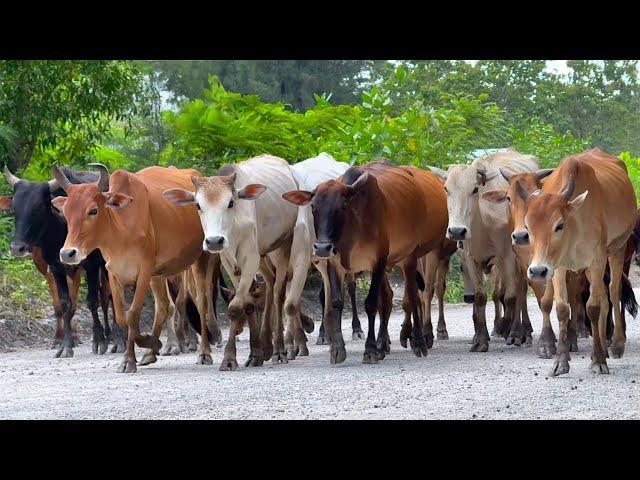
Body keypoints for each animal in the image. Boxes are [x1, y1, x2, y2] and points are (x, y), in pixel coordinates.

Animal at [0, 165, 122, 356]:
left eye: (38, 207)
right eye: (14, 208)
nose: (17, 247)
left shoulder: (90, 265)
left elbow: (92, 301)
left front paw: (98, 340)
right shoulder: (56, 267)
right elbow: (65, 304)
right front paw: (65, 345)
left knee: (109, 295)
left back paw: (116, 339)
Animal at [50, 163, 220, 374]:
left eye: (93, 211)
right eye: (66, 212)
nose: (68, 253)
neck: (121, 227)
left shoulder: (144, 272)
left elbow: (132, 315)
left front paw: (130, 359)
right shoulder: (114, 273)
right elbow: (122, 316)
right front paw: (148, 344)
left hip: (200, 258)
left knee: (202, 303)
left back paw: (204, 352)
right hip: (158, 274)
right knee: (163, 306)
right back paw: (150, 353)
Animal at [162, 155, 298, 372]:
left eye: (231, 202)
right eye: (198, 205)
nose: (214, 241)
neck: (234, 228)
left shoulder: (250, 258)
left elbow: (235, 307)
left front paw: (228, 358)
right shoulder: (229, 261)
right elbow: (247, 303)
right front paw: (254, 353)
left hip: (284, 243)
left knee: (278, 292)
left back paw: (279, 350)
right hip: (262, 255)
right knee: (268, 285)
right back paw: (266, 348)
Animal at [282, 161, 448, 364]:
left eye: (342, 206)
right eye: (313, 207)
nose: (322, 247)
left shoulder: (378, 261)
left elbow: (370, 304)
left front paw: (369, 350)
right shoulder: (335, 263)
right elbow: (336, 302)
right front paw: (337, 349)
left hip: (409, 258)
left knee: (412, 295)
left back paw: (418, 342)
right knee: (388, 297)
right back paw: (383, 345)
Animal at [516, 147, 636, 376]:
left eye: (559, 225)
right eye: (528, 227)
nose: (537, 271)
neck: (575, 225)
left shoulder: (597, 259)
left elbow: (593, 307)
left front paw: (598, 361)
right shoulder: (558, 266)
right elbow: (563, 308)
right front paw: (560, 362)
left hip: (617, 249)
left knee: (613, 292)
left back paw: (616, 345)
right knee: (604, 297)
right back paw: (604, 347)